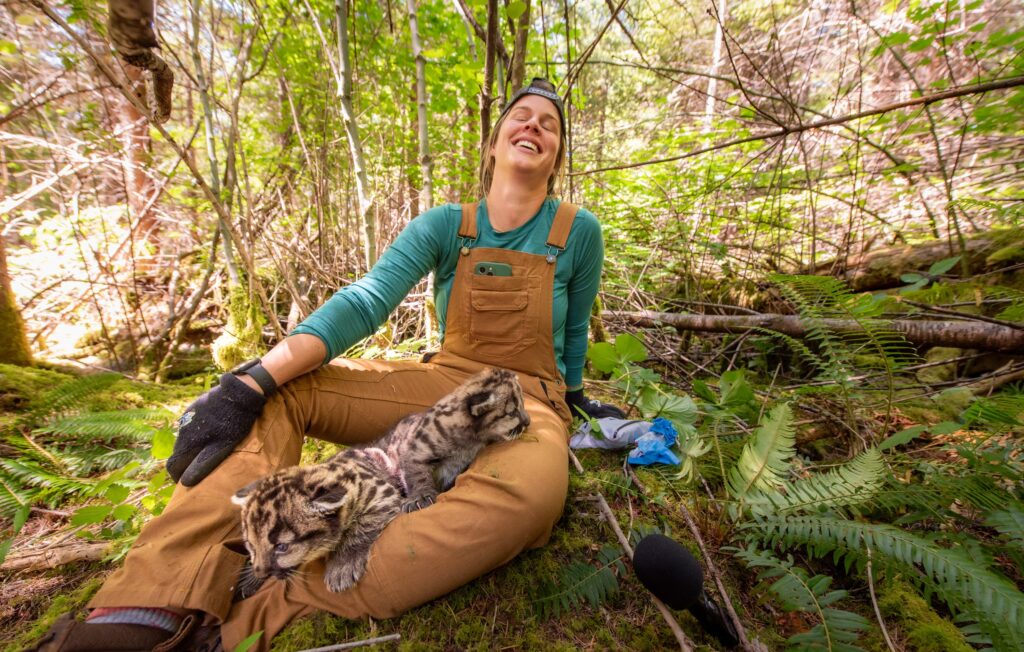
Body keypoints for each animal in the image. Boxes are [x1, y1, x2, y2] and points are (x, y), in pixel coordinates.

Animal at [233, 366, 532, 589]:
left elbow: (360, 529)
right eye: (512, 411)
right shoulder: (412, 451)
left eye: (282, 547)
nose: (528, 421)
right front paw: (420, 496)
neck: (470, 438)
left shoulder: (381, 494)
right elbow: (416, 473)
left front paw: (342, 567)